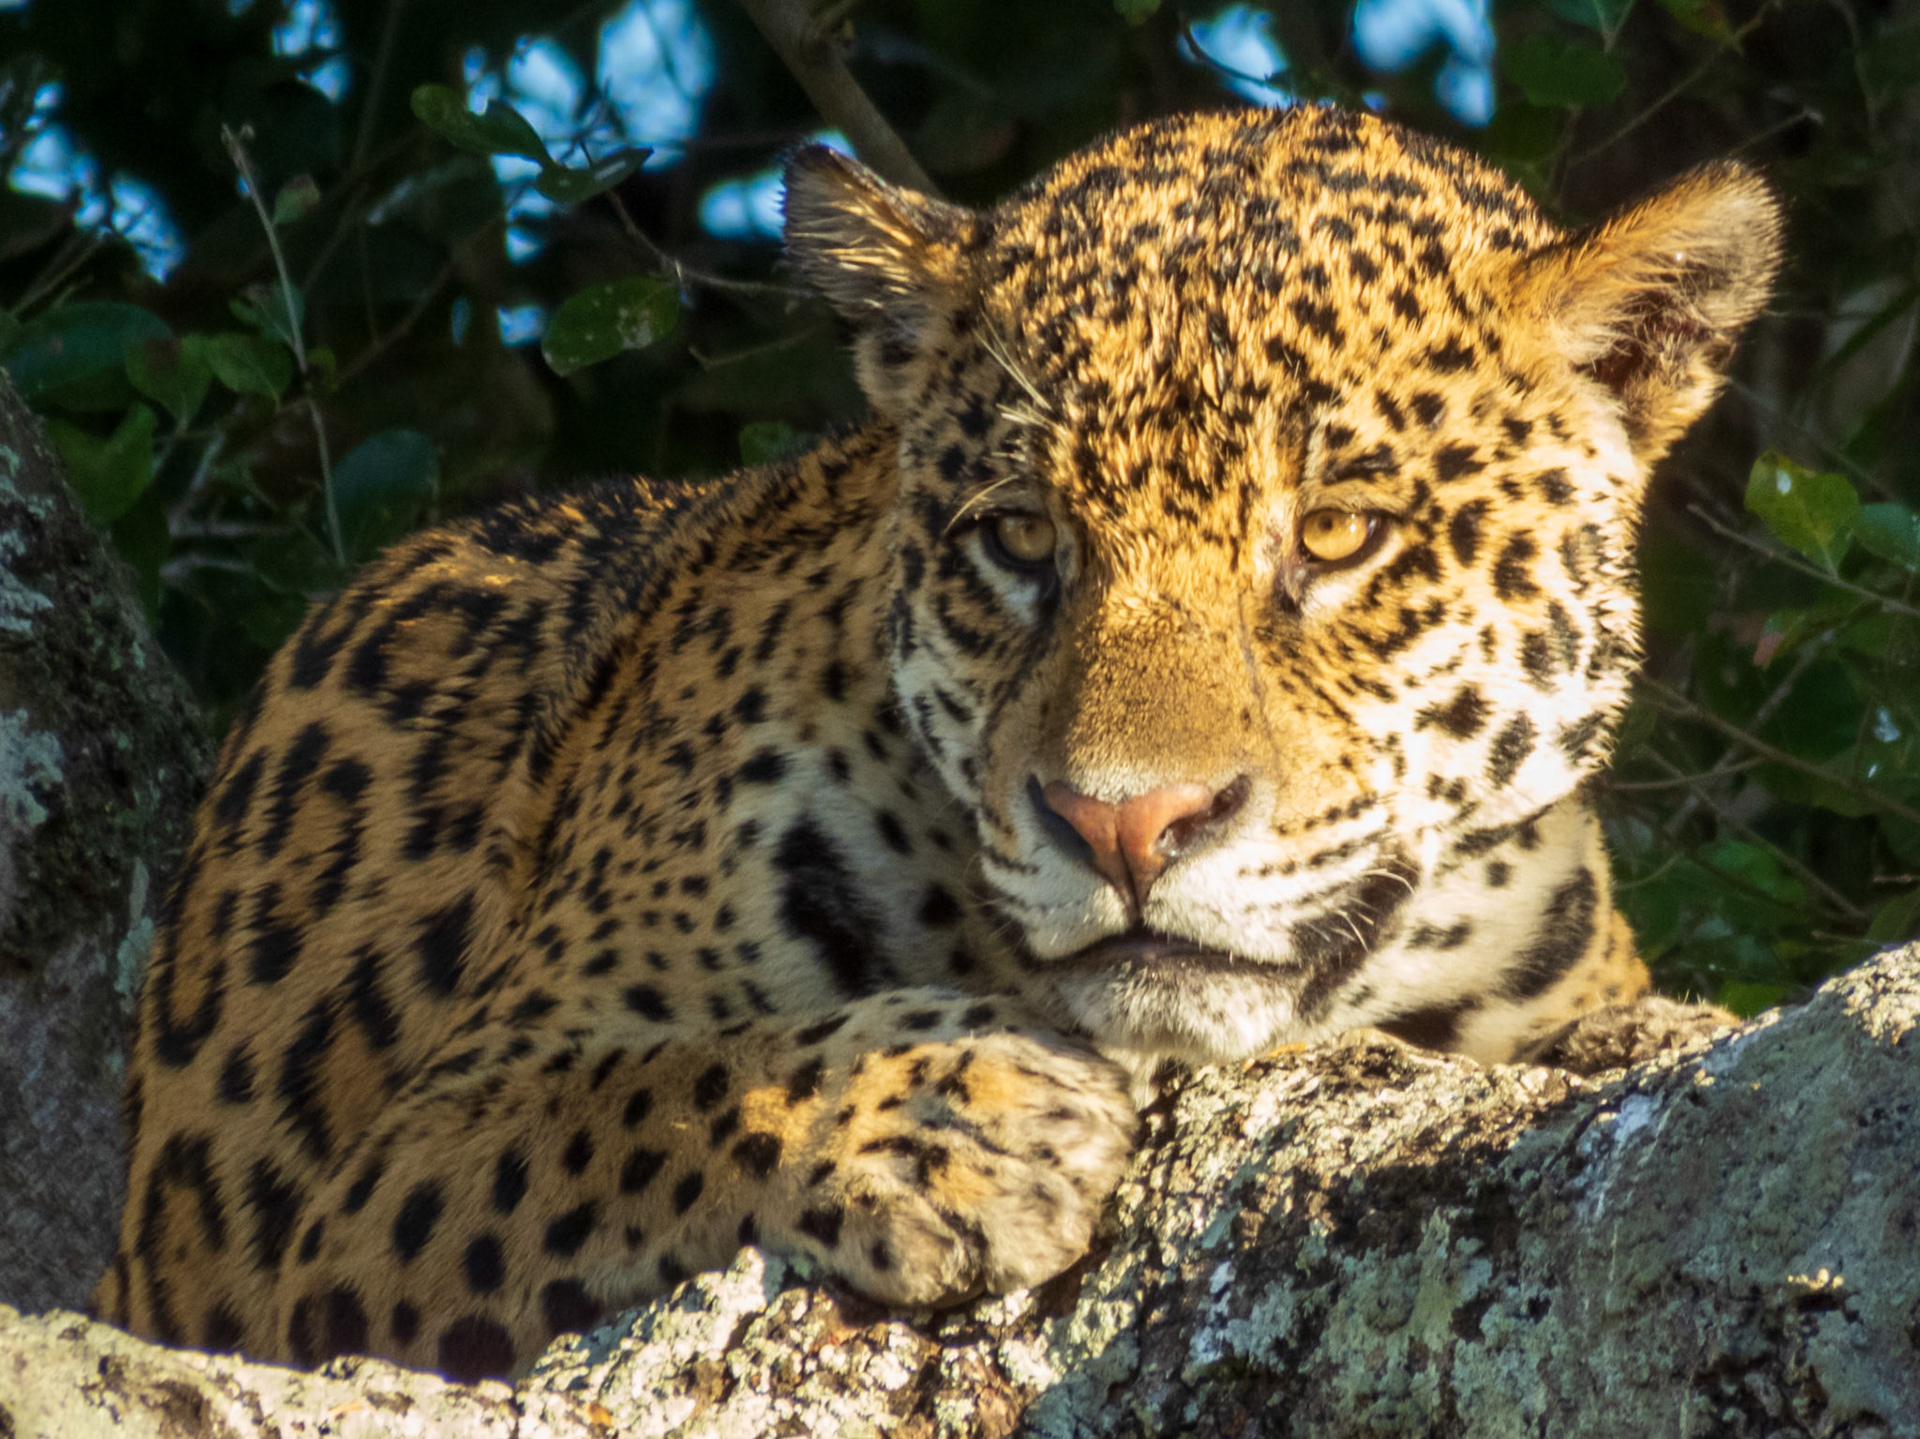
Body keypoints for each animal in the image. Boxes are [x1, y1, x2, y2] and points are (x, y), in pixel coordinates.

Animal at [95, 103, 1782, 1383]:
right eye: (1022, 538)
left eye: (1340, 534)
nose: (1128, 824)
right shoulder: (402, 1160)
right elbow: (633, 1101)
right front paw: (947, 1119)